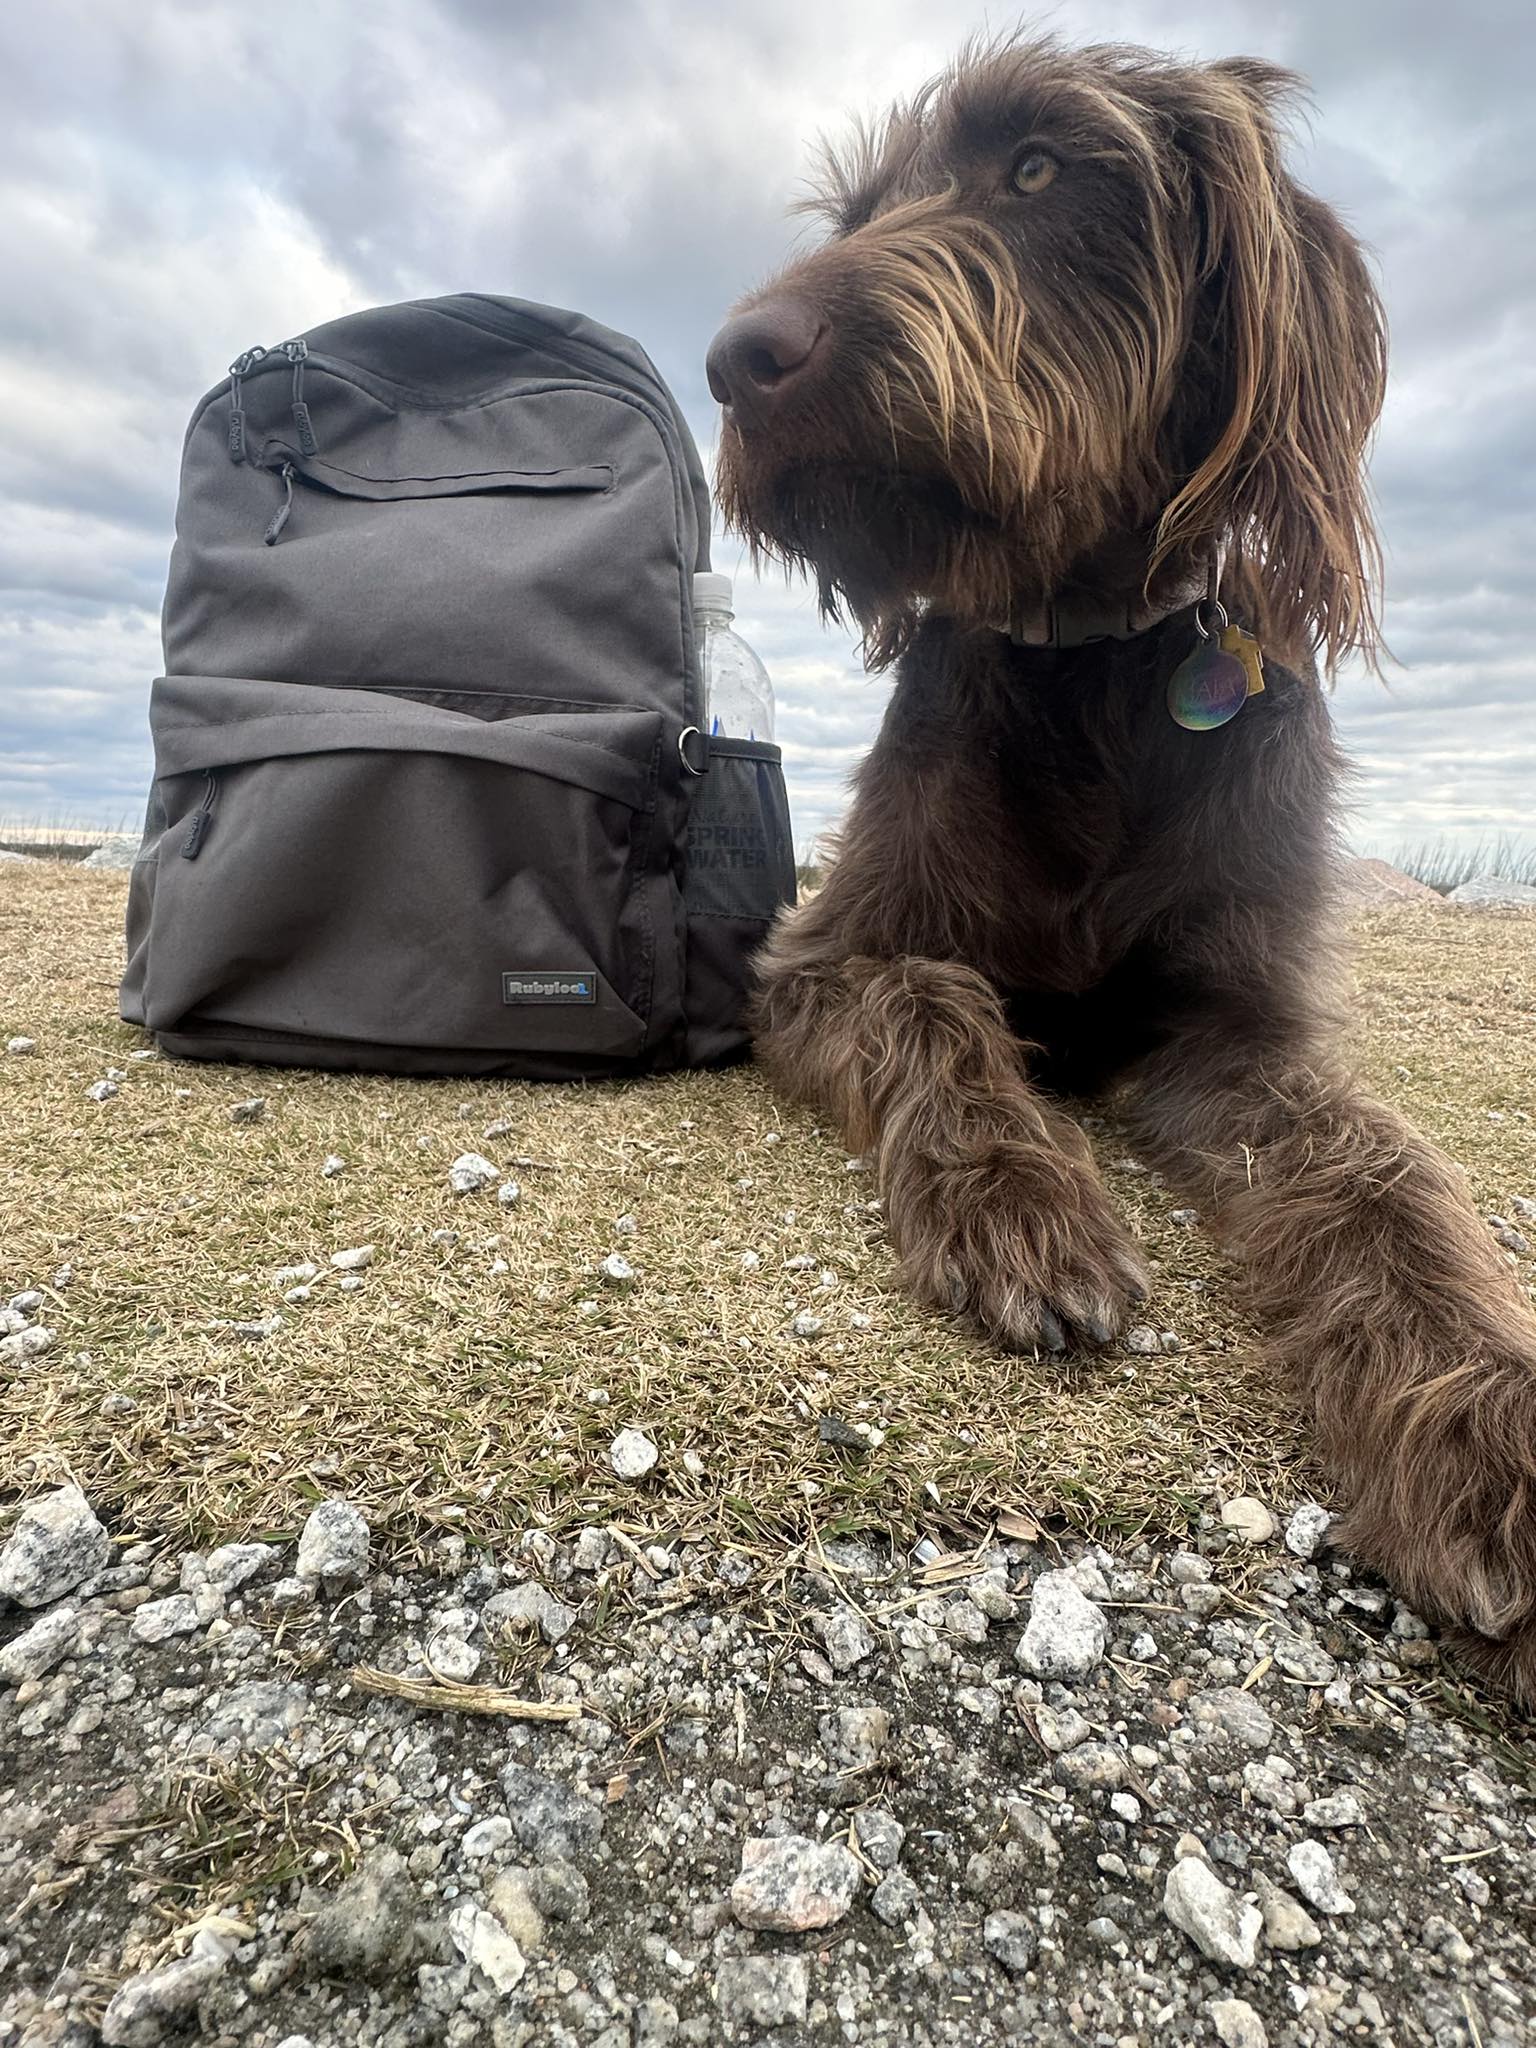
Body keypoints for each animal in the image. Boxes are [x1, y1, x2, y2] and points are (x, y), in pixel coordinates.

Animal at [708, 36, 1536, 1695]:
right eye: (865, 210)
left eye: (1037, 168)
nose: (735, 357)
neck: (1084, 662)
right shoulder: (824, 957)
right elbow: (933, 1010)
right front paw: (1025, 1205)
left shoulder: (1232, 1028)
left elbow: (1389, 1175)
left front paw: (1486, 1424)